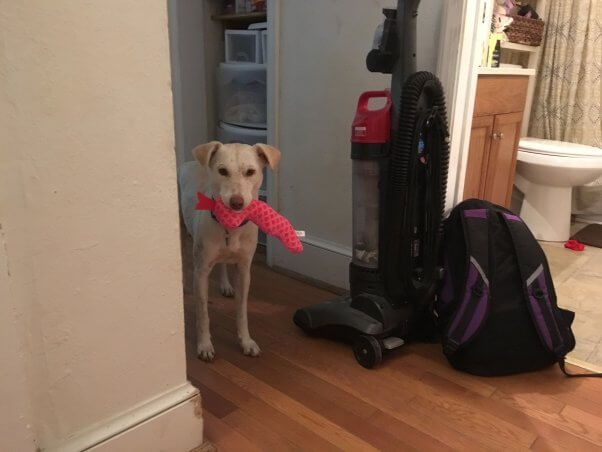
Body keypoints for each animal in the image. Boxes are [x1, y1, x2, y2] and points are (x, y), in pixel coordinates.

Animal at [178, 141, 282, 360]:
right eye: (222, 171)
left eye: (251, 172)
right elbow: (203, 312)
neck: (230, 226)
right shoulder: (201, 272)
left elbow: (241, 311)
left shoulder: (244, 270)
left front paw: (246, 341)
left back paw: (225, 285)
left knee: (223, 263)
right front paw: (204, 345)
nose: (236, 202)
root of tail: (190, 162)